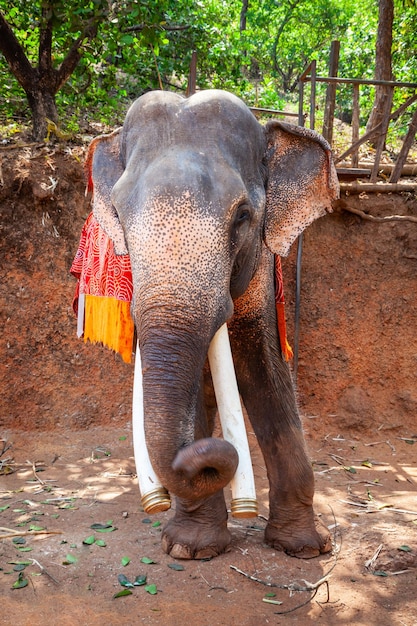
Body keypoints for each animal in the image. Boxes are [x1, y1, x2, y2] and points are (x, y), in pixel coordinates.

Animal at [82, 86, 338, 556]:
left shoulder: (259, 266)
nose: (202, 456)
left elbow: (265, 371)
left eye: (242, 216)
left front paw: (305, 547)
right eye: (119, 217)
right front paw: (191, 548)